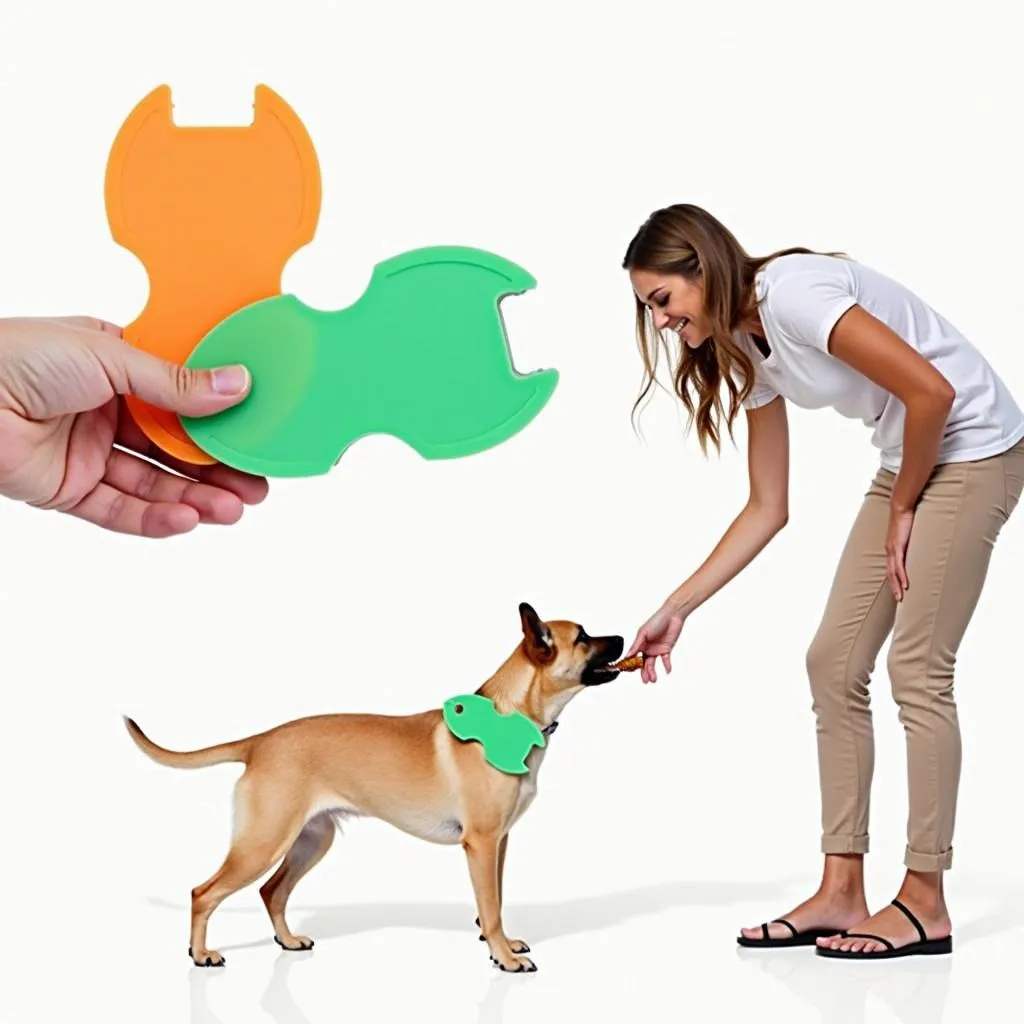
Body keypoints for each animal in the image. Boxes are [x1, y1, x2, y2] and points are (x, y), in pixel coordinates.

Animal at [125, 602, 622, 970]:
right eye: (582, 637)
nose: (620, 638)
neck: (510, 719)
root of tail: (260, 741)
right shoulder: (481, 843)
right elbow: (492, 905)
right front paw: (502, 957)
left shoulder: (499, 842)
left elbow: (494, 901)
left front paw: (500, 942)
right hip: (262, 842)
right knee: (204, 892)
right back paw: (201, 954)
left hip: (311, 840)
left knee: (271, 891)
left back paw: (287, 940)